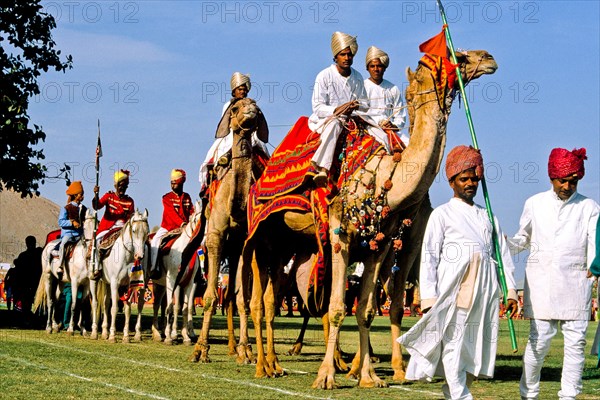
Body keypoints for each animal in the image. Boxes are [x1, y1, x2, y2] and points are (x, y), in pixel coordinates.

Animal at [34, 208, 96, 336]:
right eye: (85, 228)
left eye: (96, 226)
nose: (90, 246)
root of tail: (48, 246)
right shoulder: (75, 282)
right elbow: (74, 304)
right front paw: (71, 329)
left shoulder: (86, 284)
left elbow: (82, 305)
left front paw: (83, 330)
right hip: (49, 277)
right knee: (50, 301)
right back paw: (49, 327)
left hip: (61, 282)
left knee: (56, 300)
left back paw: (55, 325)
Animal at [89, 208, 149, 342]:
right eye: (134, 230)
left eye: (147, 232)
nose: (140, 256)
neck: (127, 256)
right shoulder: (115, 283)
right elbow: (115, 308)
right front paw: (112, 336)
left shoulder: (128, 285)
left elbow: (127, 309)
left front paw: (125, 336)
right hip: (94, 280)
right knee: (95, 303)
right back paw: (94, 332)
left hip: (106, 283)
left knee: (105, 304)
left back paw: (104, 332)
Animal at [152, 202, 204, 346]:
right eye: (198, 220)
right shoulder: (173, 280)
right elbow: (173, 307)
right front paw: (171, 336)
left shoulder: (190, 283)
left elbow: (186, 308)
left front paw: (186, 336)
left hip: (161, 285)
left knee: (159, 305)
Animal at [190, 97, 270, 362]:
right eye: (234, 108)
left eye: (257, 105)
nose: (251, 110)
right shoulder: (215, 237)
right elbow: (209, 296)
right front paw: (200, 350)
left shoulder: (245, 241)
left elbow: (242, 297)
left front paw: (247, 350)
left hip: (234, 251)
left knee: (233, 298)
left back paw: (235, 347)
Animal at [238, 49, 496, 388]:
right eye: (459, 57)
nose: (488, 58)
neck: (386, 176)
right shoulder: (341, 234)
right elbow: (336, 307)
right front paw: (326, 376)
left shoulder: (381, 244)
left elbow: (367, 309)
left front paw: (370, 376)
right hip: (260, 237)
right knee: (257, 301)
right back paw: (260, 366)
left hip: (286, 244)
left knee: (271, 300)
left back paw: (275, 365)